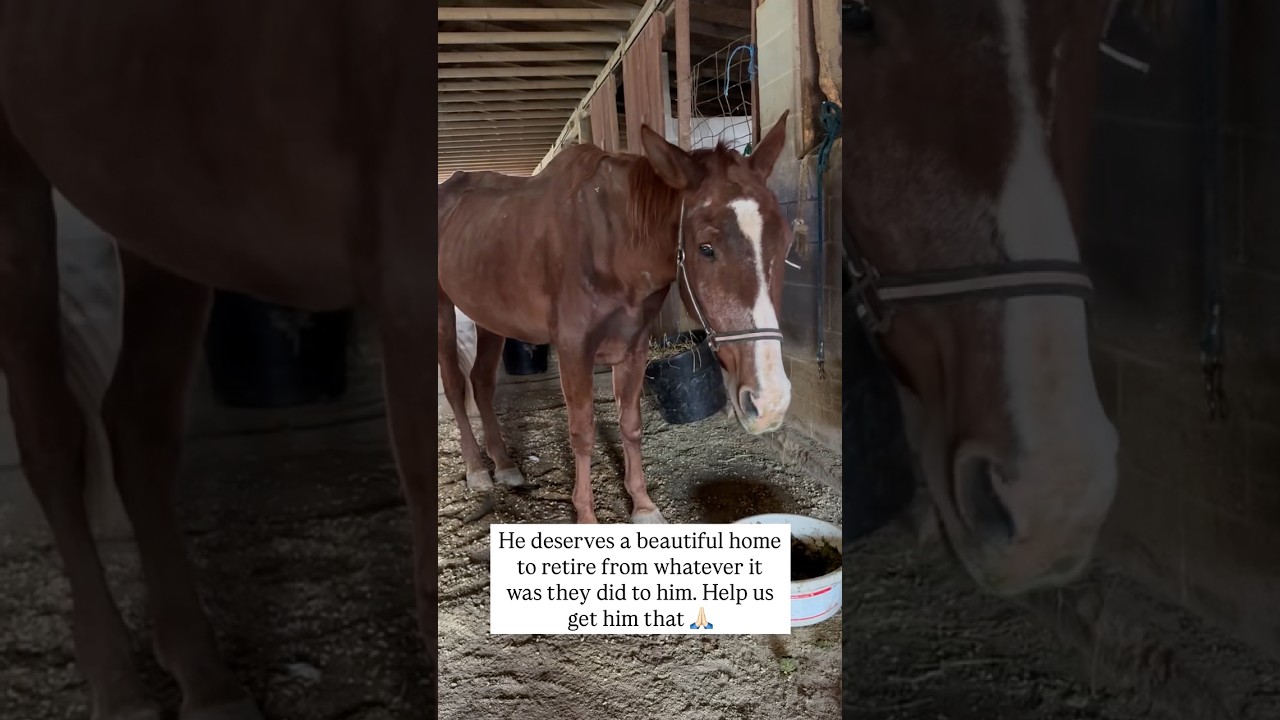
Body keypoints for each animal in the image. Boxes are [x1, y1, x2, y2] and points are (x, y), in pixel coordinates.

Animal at [0, 3, 439, 719]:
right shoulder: (410, 296)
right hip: (17, 185)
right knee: (52, 438)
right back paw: (119, 691)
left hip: (161, 211)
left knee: (137, 426)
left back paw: (206, 683)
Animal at [436, 112, 795, 524]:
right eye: (706, 248)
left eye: (786, 241)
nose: (770, 403)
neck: (612, 245)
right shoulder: (574, 350)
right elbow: (583, 432)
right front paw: (586, 517)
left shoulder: (634, 347)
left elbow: (630, 424)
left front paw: (642, 505)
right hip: (443, 310)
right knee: (455, 386)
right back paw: (477, 470)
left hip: (490, 316)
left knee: (481, 382)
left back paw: (505, 464)